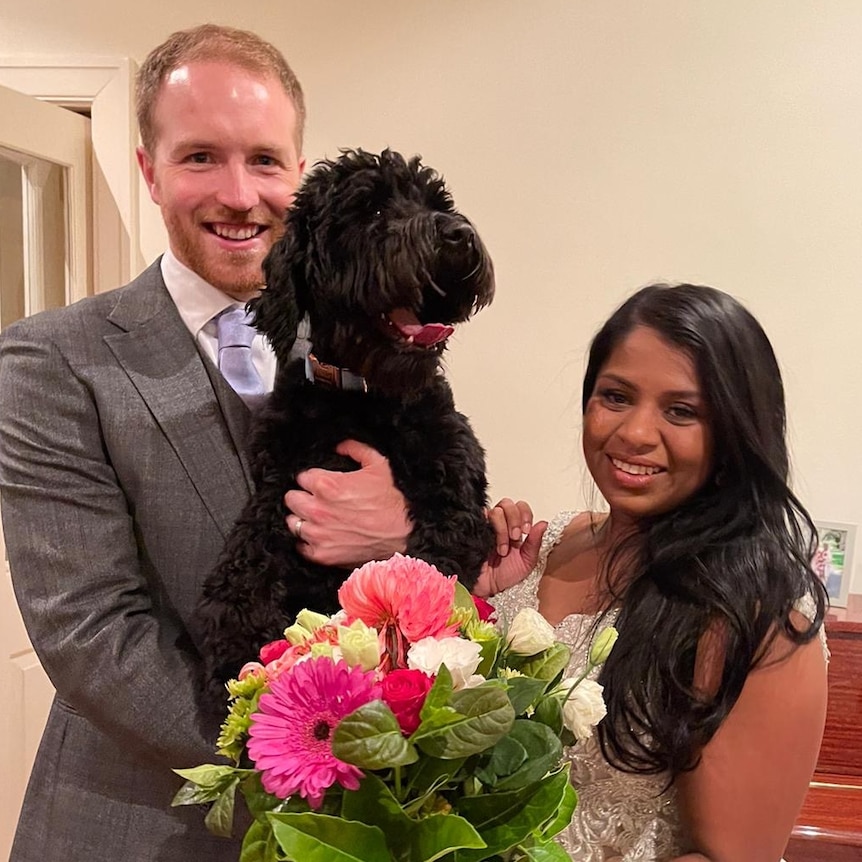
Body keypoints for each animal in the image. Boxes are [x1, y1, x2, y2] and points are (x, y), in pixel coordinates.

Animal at [195, 147, 492, 704]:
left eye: (436, 202)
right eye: (371, 210)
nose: (458, 232)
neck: (360, 399)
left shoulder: (454, 495)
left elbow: (433, 564)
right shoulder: (277, 490)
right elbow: (242, 566)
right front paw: (233, 652)